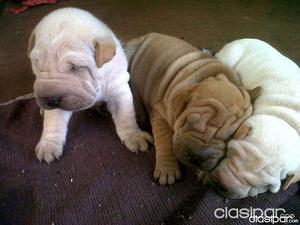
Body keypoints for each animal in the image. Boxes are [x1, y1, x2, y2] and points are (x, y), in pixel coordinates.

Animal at [28, 7, 152, 163]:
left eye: (76, 67)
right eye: (36, 63)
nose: (50, 101)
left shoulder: (119, 89)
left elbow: (125, 116)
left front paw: (134, 135)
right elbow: (54, 123)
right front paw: (48, 145)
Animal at [125, 33, 256, 185]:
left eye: (229, 138)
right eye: (189, 122)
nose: (197, 157)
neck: (212, 76)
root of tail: (145, 35)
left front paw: (206, 174)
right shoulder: (160, 111)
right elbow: (165, 139)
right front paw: (167, 169)